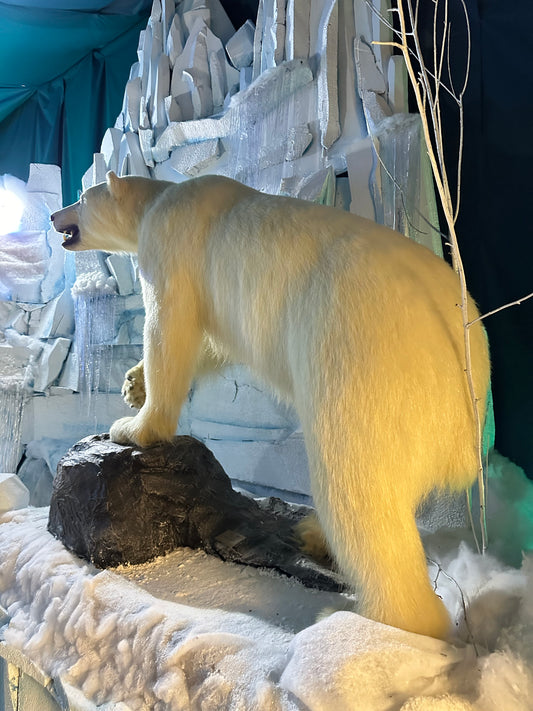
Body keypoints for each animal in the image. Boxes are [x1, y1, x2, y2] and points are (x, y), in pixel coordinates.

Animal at [52, 171, 490, 640]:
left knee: (355, 480)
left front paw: (134, 426)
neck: (157, 199)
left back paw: (356, 618)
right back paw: (314, 534)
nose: (55, 214)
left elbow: (171, 330)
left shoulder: (173, 248)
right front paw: (133, 385)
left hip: (362, 361)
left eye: (81, 197)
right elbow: (210, 342)